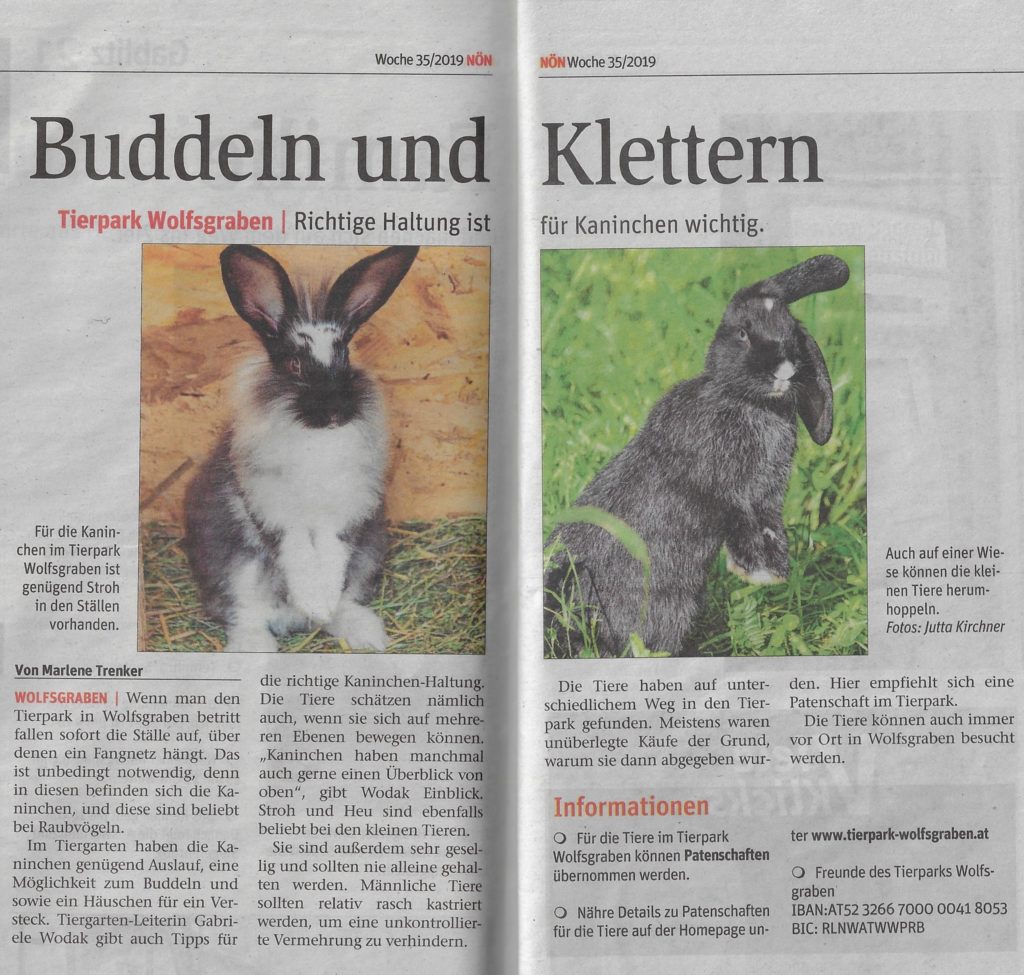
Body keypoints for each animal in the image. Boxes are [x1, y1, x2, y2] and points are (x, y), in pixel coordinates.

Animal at [184, 244, 419, 652]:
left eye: (346, 357)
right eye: (294, 364)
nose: (336, 412)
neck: (317, 438)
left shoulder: (344, 512)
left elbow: (331, 555)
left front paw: (321, 603)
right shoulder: (272, 507)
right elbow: (298, 554)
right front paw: (313, 600)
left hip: (368, 556)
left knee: (346, 599)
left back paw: (361, 632)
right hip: (236, 569)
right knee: (246, 615)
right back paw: (254, 649)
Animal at [544, 254, 850, 657]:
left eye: (791, 331)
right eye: (742, 333)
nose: (784, 369)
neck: (748, 402)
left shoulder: (767, 496)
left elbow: (767, 524)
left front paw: (774, 571)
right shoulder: (724, 486)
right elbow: (740, 518)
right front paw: (758, 573)